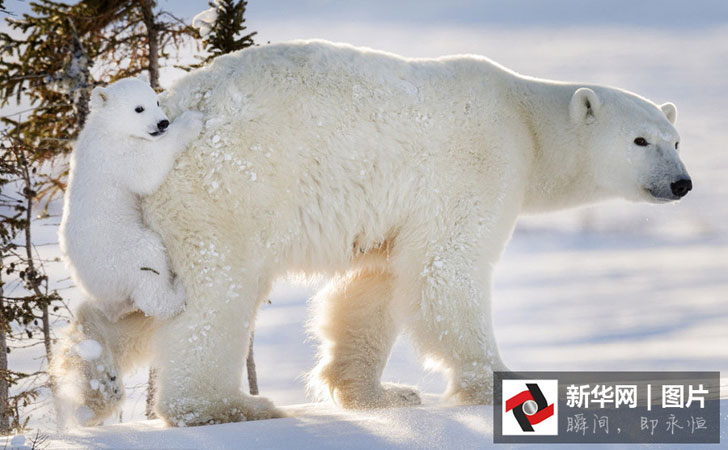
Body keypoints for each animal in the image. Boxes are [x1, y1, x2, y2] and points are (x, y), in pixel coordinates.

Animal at [57, 40, 688, 428]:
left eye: (674, 139)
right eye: (640, 140)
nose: (681, 183)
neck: (525, 120)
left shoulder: (397, 213)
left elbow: (374, 285)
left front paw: (381, 394)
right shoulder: (476, 165)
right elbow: (446, 272)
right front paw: (500, 387)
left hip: (147, 216)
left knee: (142, 294)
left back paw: (94, 375)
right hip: (224, 190)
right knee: (215, 296)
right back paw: (233, 406)